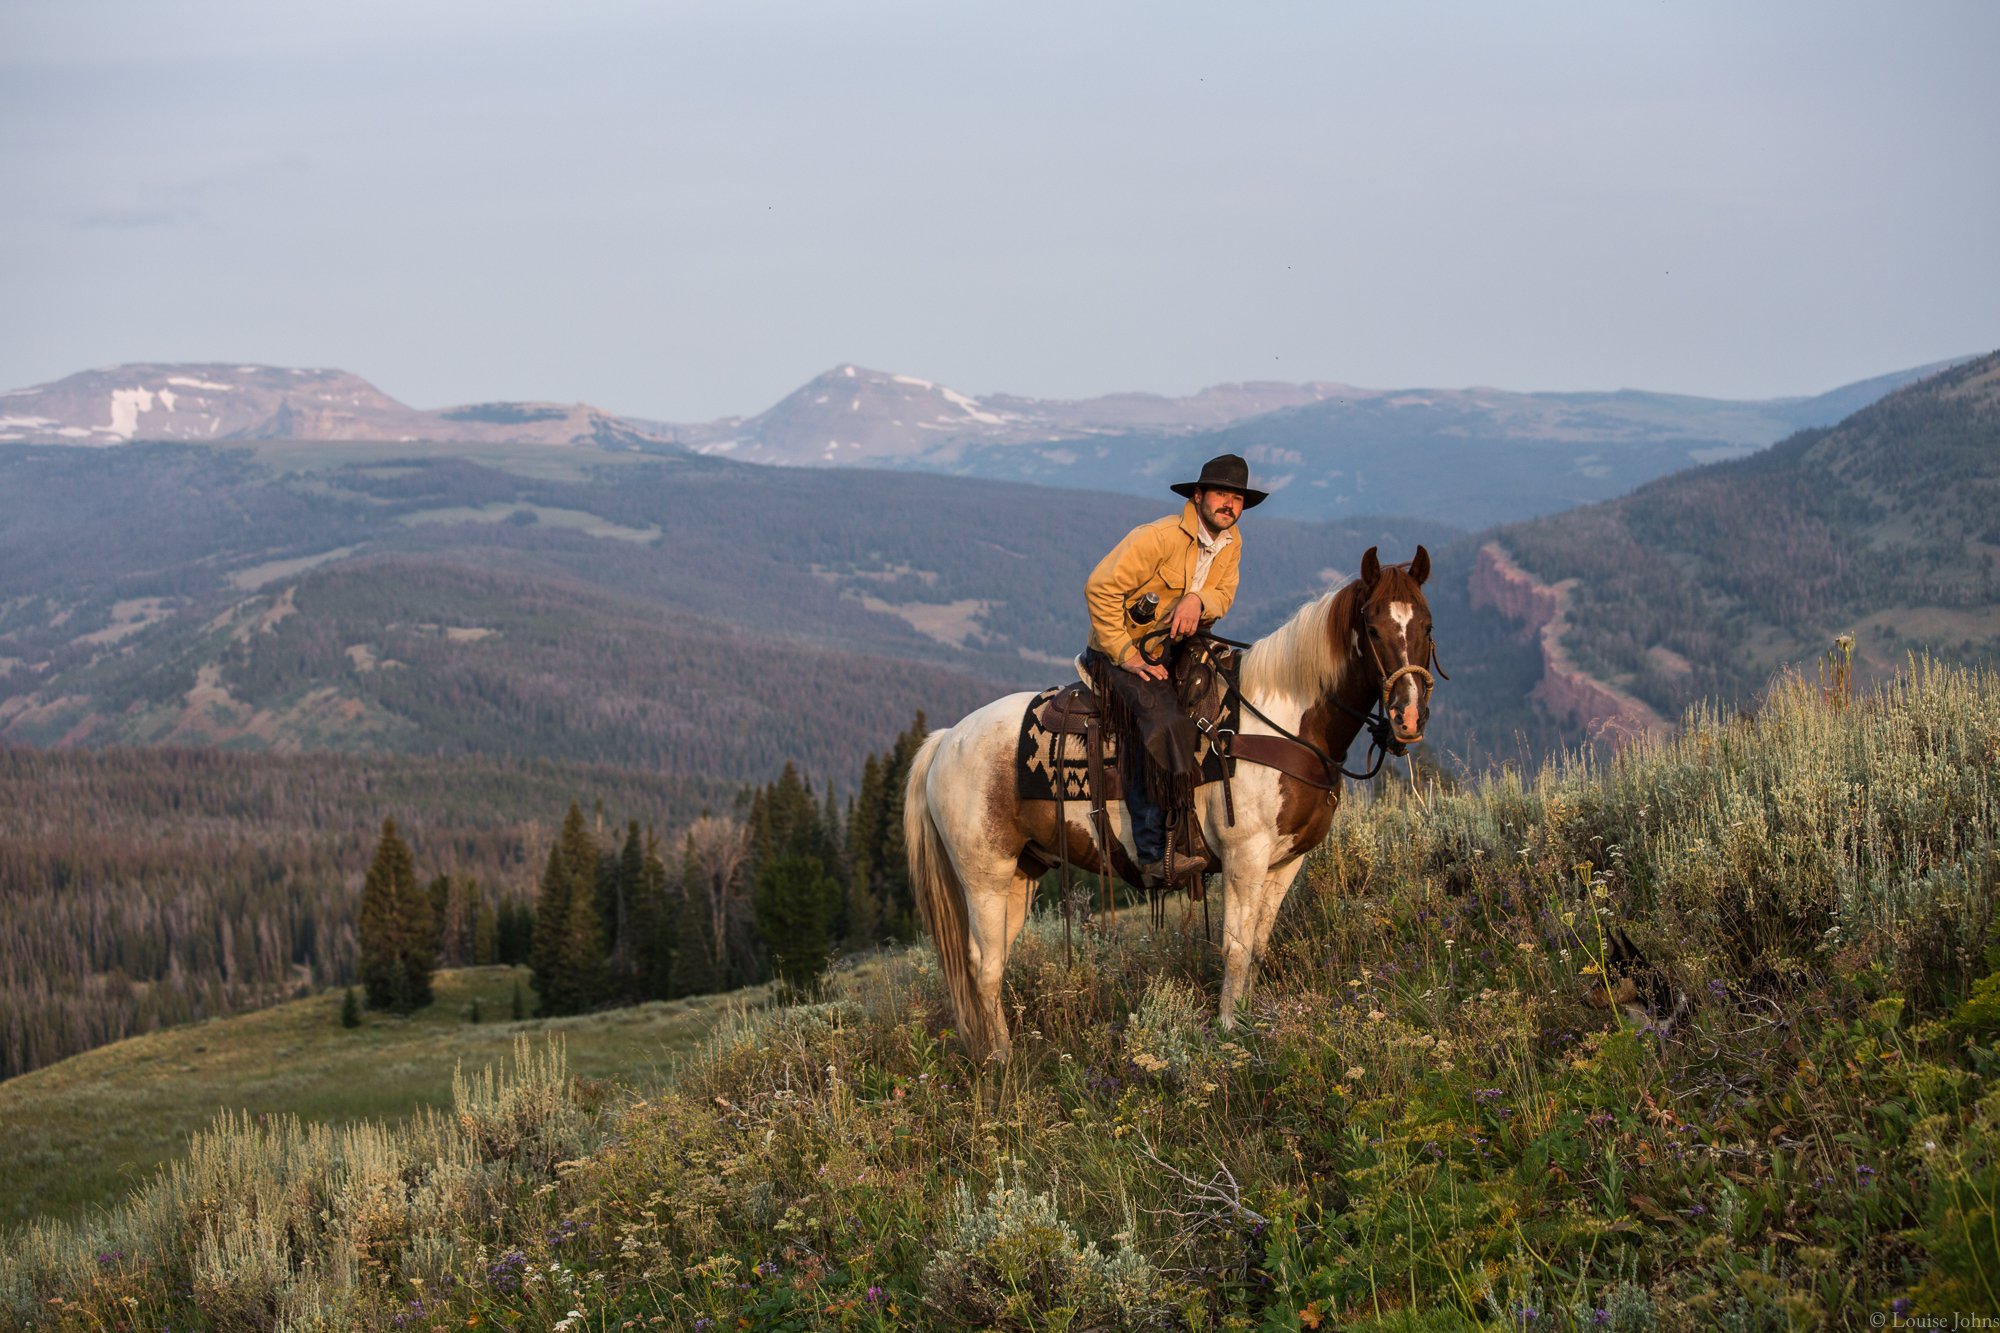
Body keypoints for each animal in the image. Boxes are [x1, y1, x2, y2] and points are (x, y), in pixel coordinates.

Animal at [908, 544, 1440, 1056]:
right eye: (1372, 628)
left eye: (1428, 626)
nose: (1409, 717)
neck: (1282, 720)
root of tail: (947, 740)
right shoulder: (1244, 857)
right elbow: (1235, 950)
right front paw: (1229, 1031)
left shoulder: (1286, 862)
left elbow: (1258, 946)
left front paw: (1249, 1020)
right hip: (984, 875)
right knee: (983, 965)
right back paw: (1001, 1061)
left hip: (1022, 873)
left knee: (994, 958)